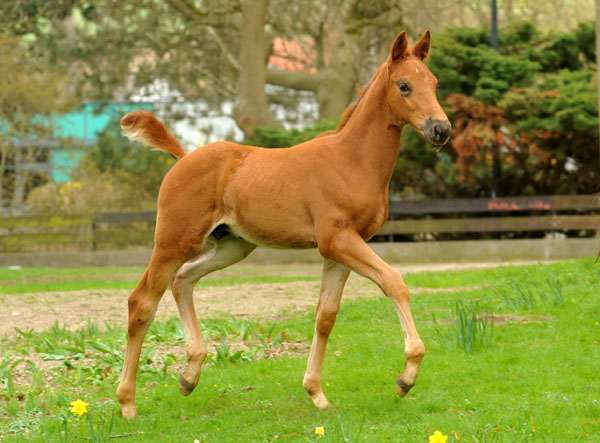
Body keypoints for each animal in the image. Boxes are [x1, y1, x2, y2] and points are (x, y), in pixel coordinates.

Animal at [117, 31, 450, 420]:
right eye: (404, 85)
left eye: (434, 83)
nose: (441, 129)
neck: (352, 160)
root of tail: (183, 158)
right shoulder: (338, 240)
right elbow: (394, 283)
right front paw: (406, 377)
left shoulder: (340, 250)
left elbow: (326, 316)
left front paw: (317, 393)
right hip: (173, 242)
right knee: (142, 302)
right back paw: (127, 402)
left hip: (232, 246)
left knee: (182, 280)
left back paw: (189, 375)